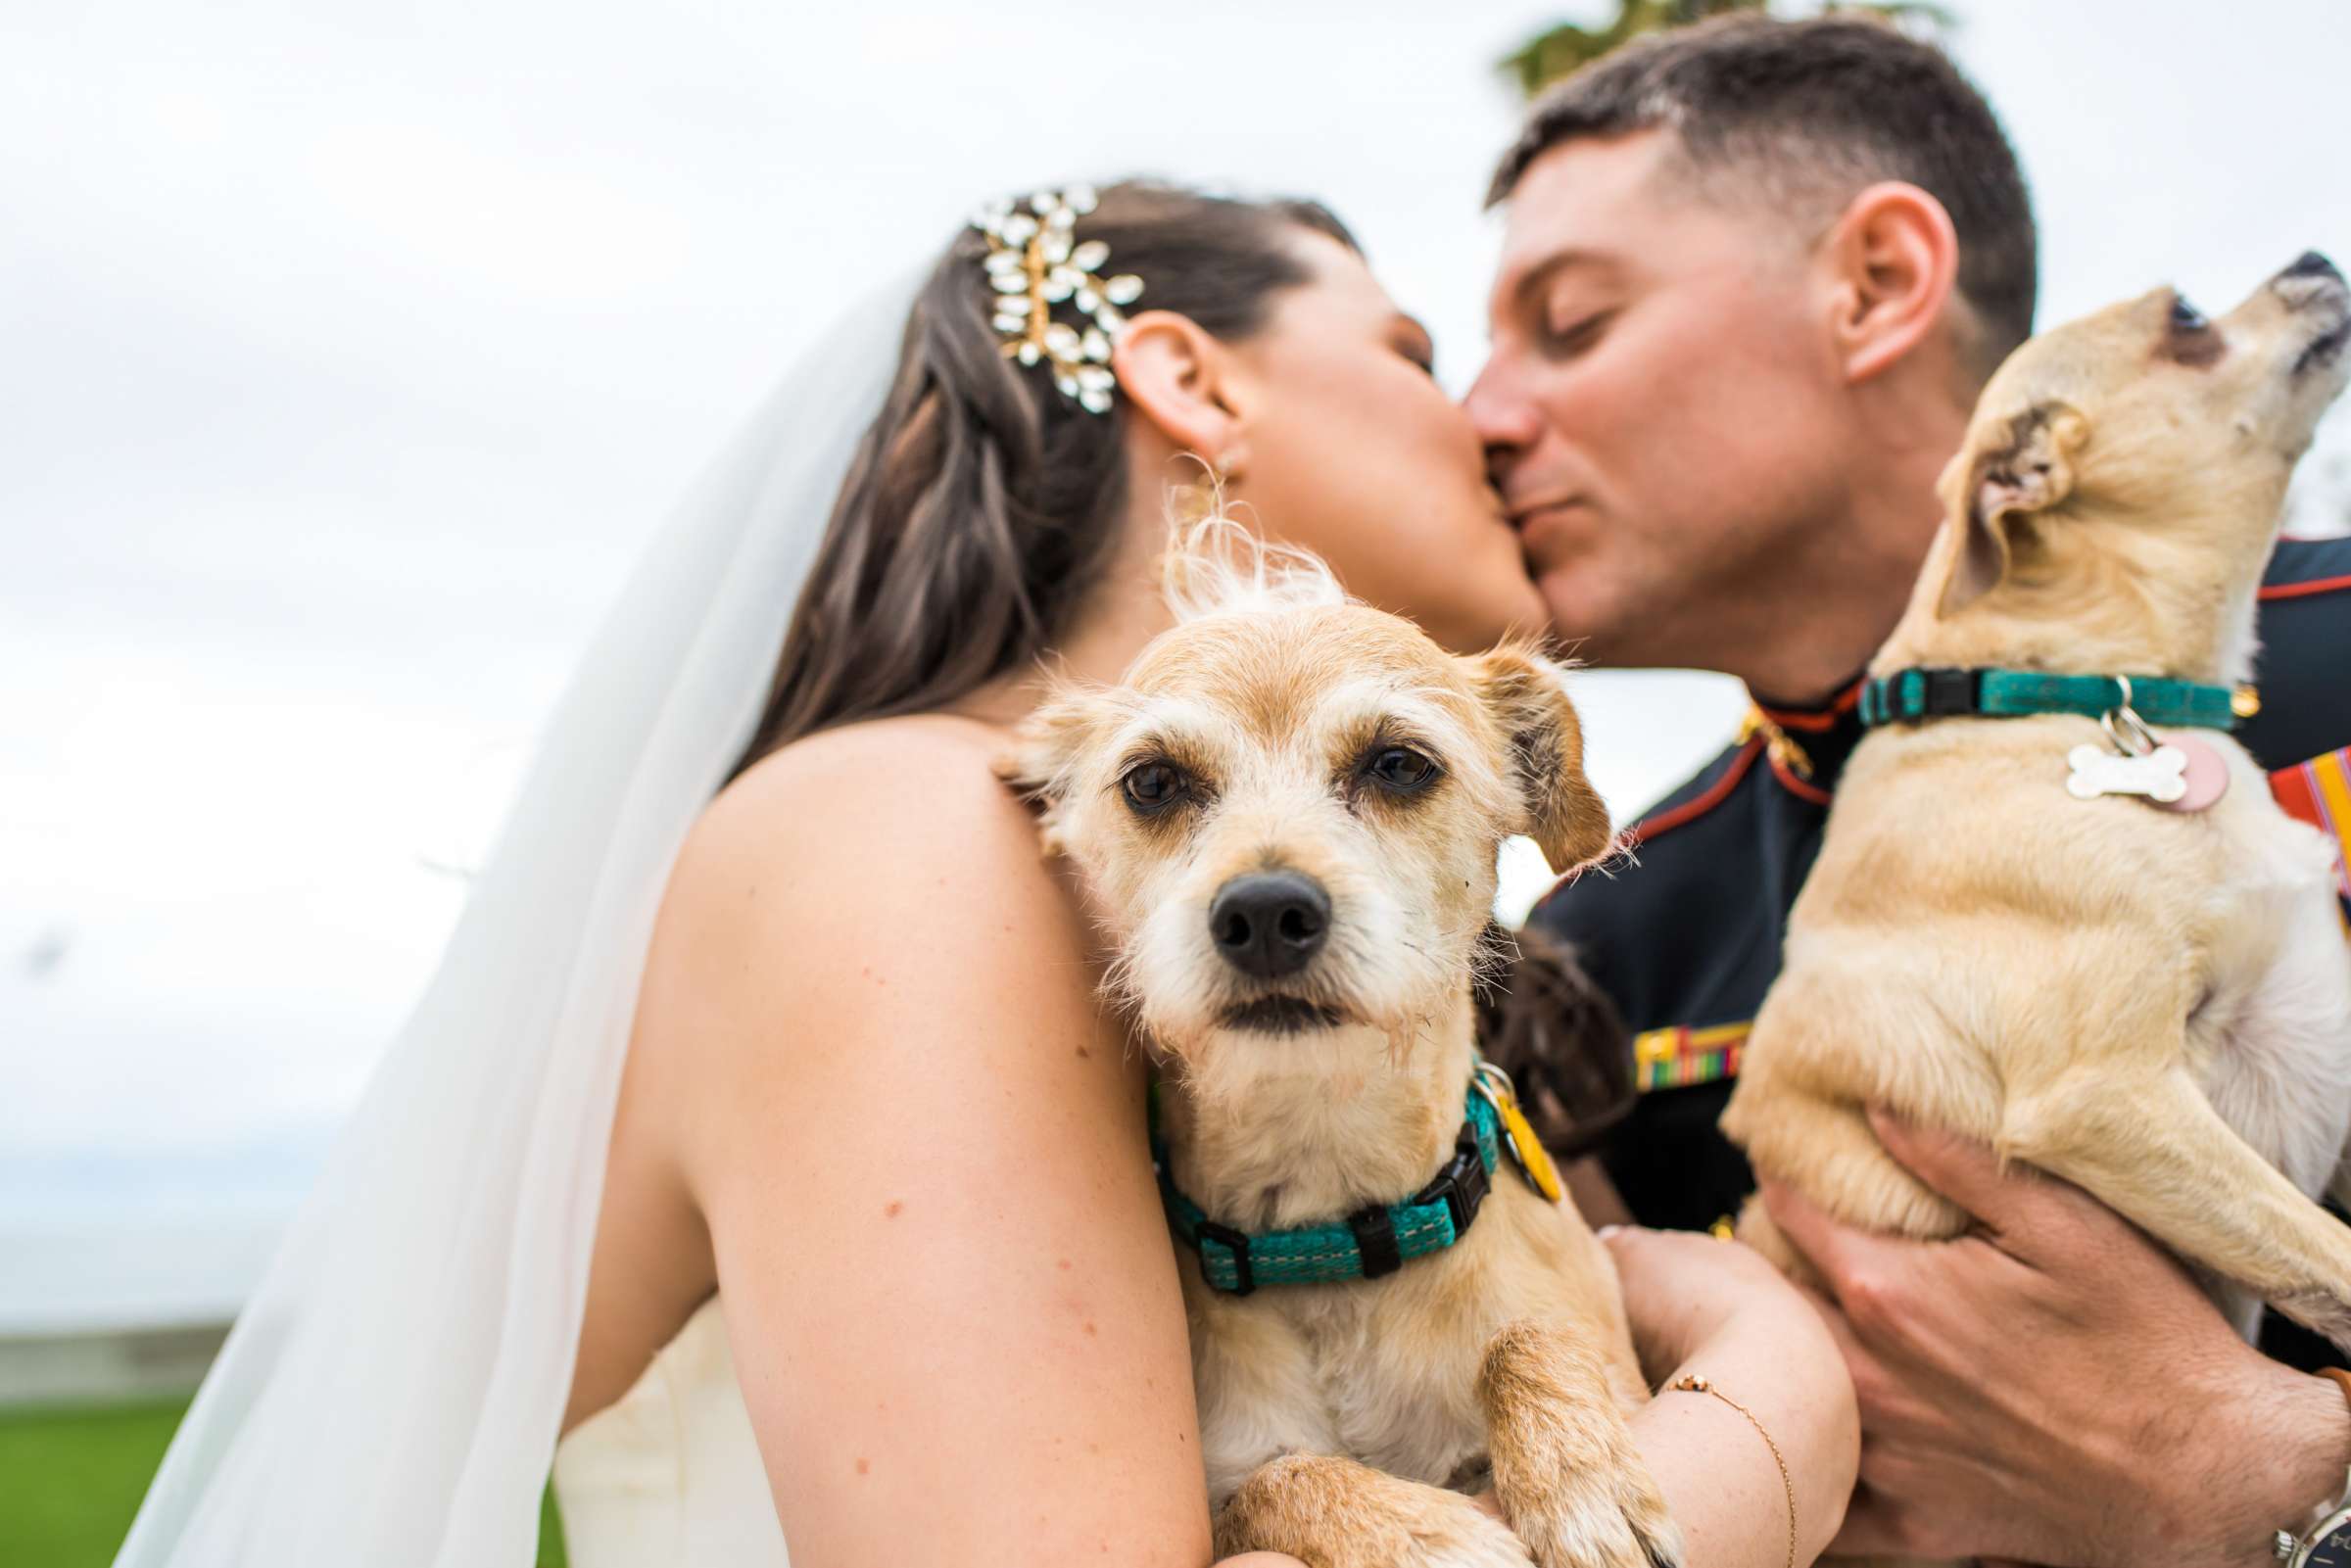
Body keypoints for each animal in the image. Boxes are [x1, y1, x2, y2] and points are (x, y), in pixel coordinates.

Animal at [1001, 531, 1683, 1568]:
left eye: (1398, 764)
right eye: (1152, 782)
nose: (1264, 912)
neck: (1335, 1235)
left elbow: (1524, 1338)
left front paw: (1585, 1479)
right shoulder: (1231, 1484)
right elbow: (1286, 1478)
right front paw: (1423, 1534)